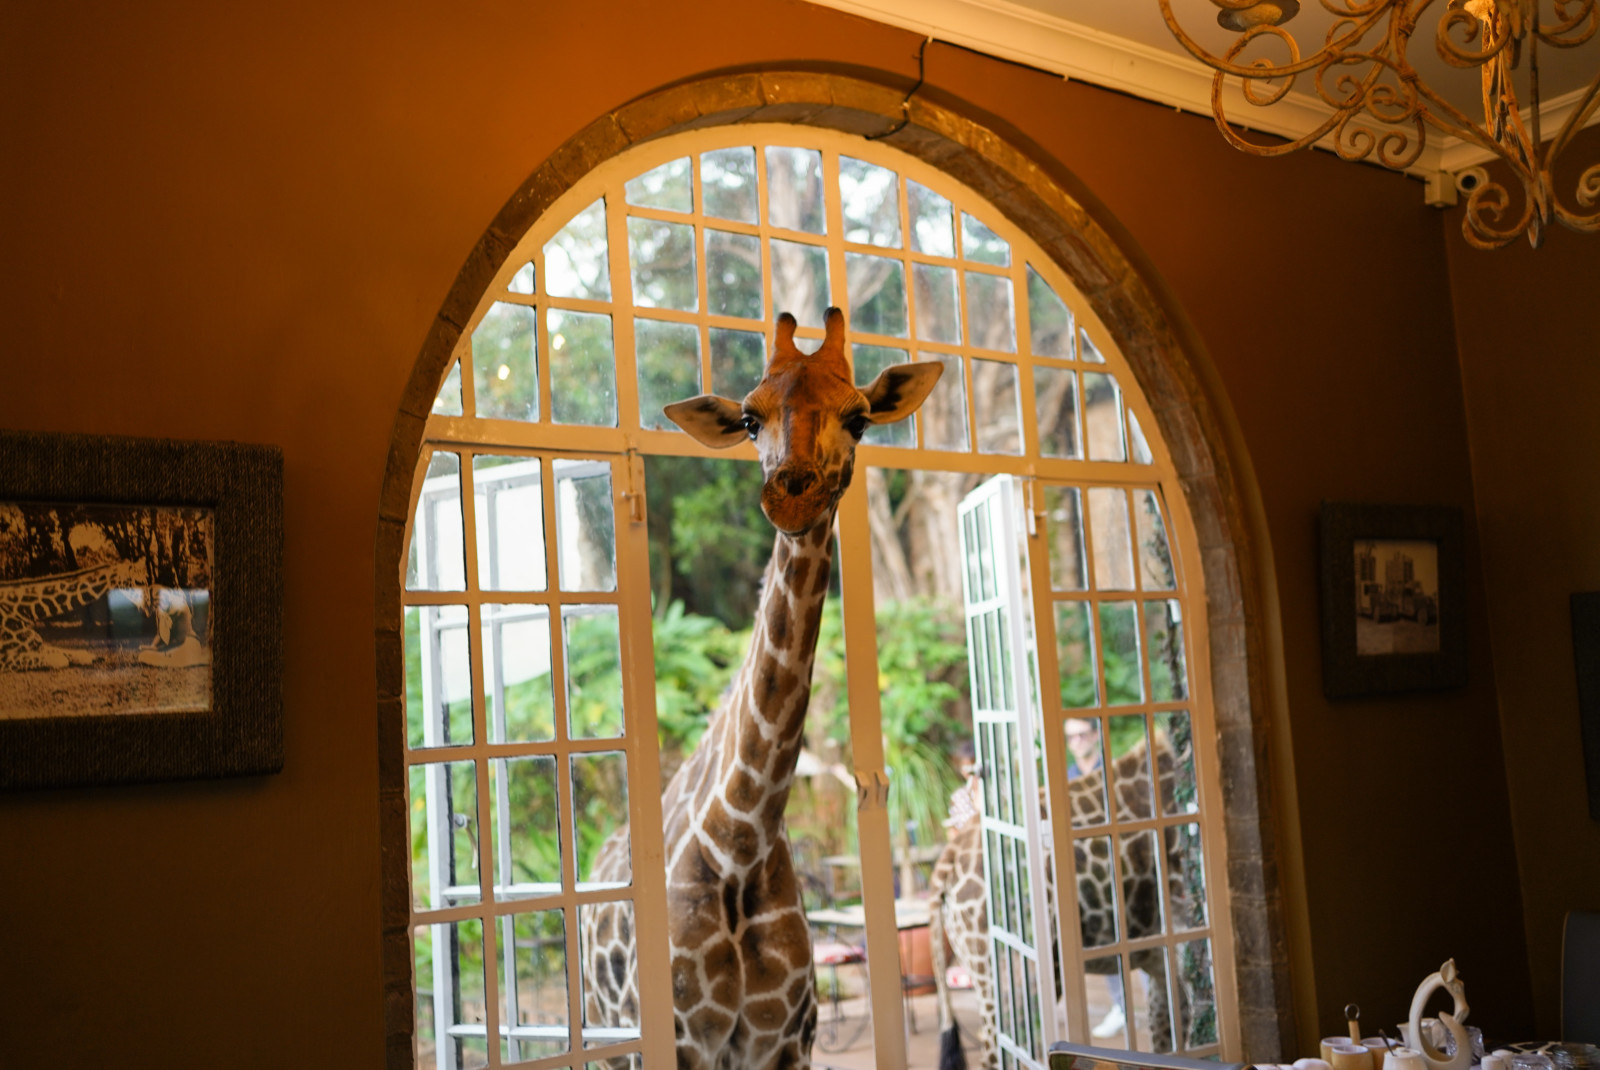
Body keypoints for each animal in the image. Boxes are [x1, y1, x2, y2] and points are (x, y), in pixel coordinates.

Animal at [0, 556, 148, 671]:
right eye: (138, 581)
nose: (146, 605)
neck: (26, 612)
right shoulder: (6, 657)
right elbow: (60, 660)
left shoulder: (37, 645)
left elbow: (78, 653)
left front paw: (92, 657)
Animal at [582, 308, 940, 1068]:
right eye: (750, 418)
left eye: (859, 417)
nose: (790, 491)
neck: (740, 839)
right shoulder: (682, 1043)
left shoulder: (784, 1042)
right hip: (610, 1037)